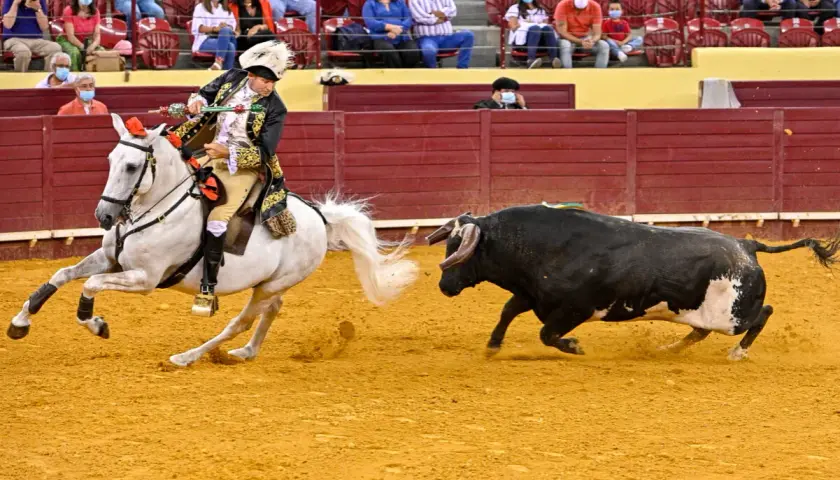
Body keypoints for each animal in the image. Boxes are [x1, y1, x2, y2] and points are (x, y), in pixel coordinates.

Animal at [7, 113, 419, 367]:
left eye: (131, 165)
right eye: (110, 159)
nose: (104, 216)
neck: (156, 207)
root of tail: (320, 218)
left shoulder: (145, 279)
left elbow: (90, 284)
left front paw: (95, 324)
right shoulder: (111, 259)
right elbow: (60, 275)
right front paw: (19, 323)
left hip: (272, 284)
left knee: (241, 320)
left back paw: (187, 357)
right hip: (270, 284)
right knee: (271, 310)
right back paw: (246, 352)